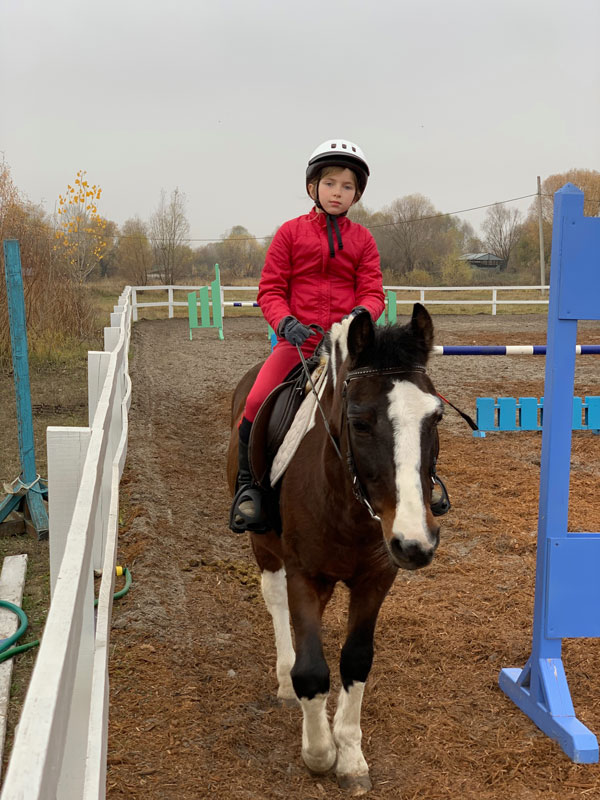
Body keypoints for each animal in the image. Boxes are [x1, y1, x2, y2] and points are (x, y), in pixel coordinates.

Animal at [227, 306, 442, 792]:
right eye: (359, 422)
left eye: (436, 418)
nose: (414, 542)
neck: (347, 501)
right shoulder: (306, 577)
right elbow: (311, 670)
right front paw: (319, 753)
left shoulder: (377, 578)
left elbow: (356, 660)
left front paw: (350, 756)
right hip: (264, 545)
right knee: (275, 600)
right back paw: (284, 682)